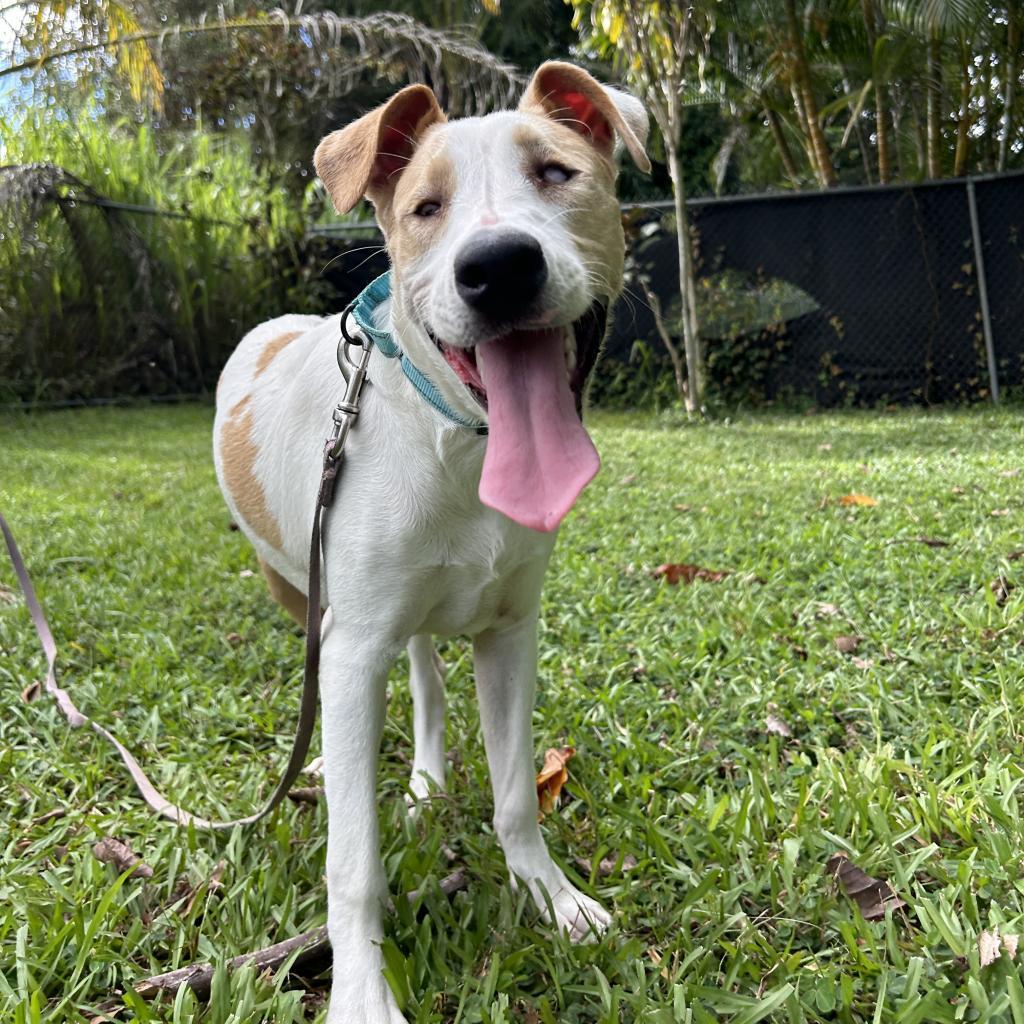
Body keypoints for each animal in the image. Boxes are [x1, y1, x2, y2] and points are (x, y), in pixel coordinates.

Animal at [212, 64, 651, 1024]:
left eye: (557, 173)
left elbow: (518, 795)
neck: (458, 444)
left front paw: (551, 897)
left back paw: (424, 781)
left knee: (423, 674)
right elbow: (353, 863)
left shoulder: (511, 631)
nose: (498, 267)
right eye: (425, 208)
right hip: (300, 592)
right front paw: (361, 989)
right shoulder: (348, 653)